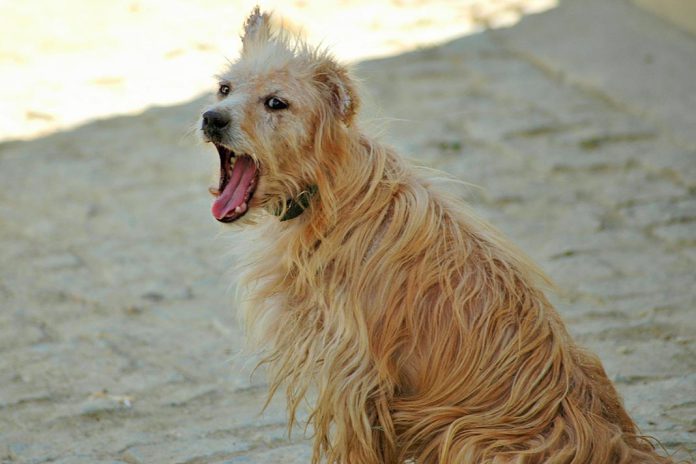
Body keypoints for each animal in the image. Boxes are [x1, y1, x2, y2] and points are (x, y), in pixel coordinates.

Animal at [198, 7, 676, 464]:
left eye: (276, 103)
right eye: (224, 89)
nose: (211, 118)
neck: (327, 191)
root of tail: (616, 442)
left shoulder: (353, 377)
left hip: (465, 438)